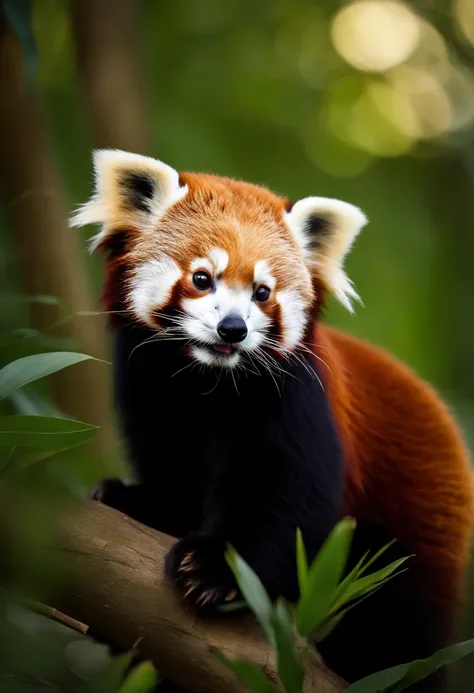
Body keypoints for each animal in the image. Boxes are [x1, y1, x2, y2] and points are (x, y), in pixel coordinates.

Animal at [70, 149, 474, 688]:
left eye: (262, 292)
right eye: (202, 278)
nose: (232, 329)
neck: (207, 381)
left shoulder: (293, 399)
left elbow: (285, 498)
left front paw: (214, 570)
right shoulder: (151, 387)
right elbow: (173, 471)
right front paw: (137, 501)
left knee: (396, 629)